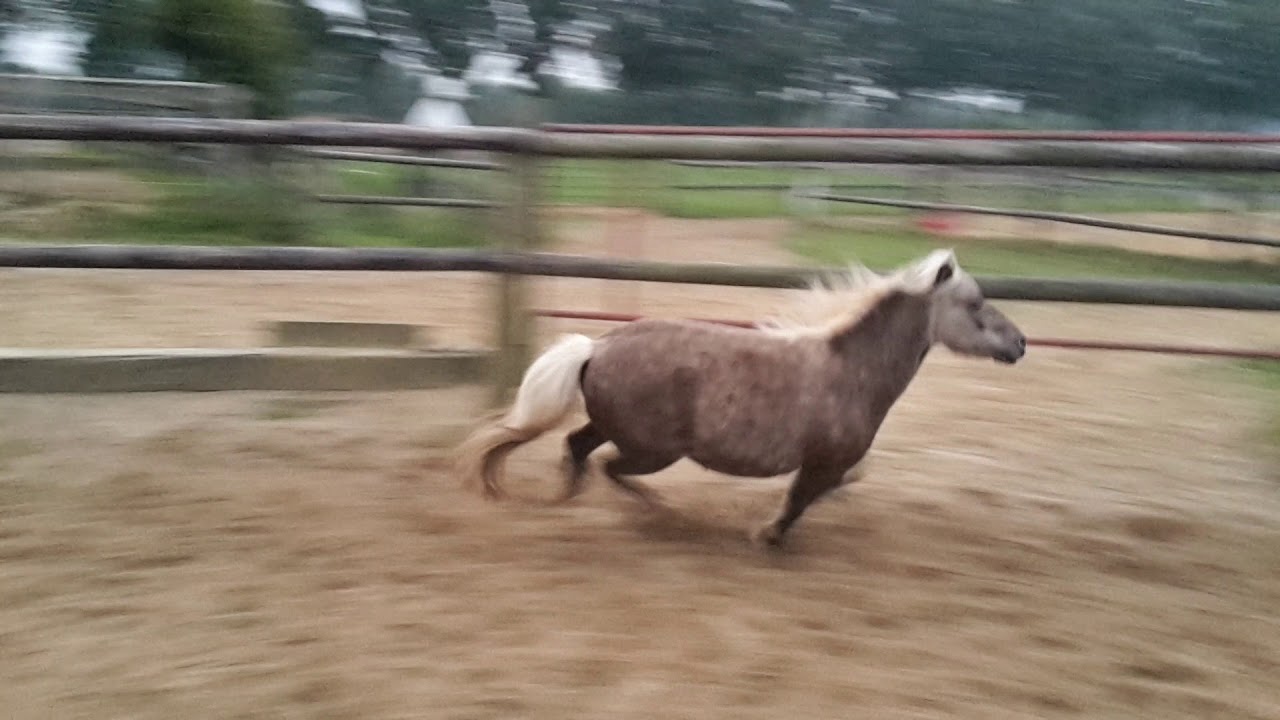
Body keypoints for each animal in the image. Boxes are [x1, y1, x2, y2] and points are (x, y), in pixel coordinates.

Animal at [456, 248, 1027, 547]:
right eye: (976, 304)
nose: (1020, 343)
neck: (852, 371)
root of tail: (597, 345)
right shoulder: (825, 460)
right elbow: (800, 499)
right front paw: (767, 534)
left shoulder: (832, 463)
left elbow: (827, 490)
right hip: (654, 449)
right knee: (608, 467)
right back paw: (663, 513)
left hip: (615, 429)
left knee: (576, 447)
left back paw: (573, 497)